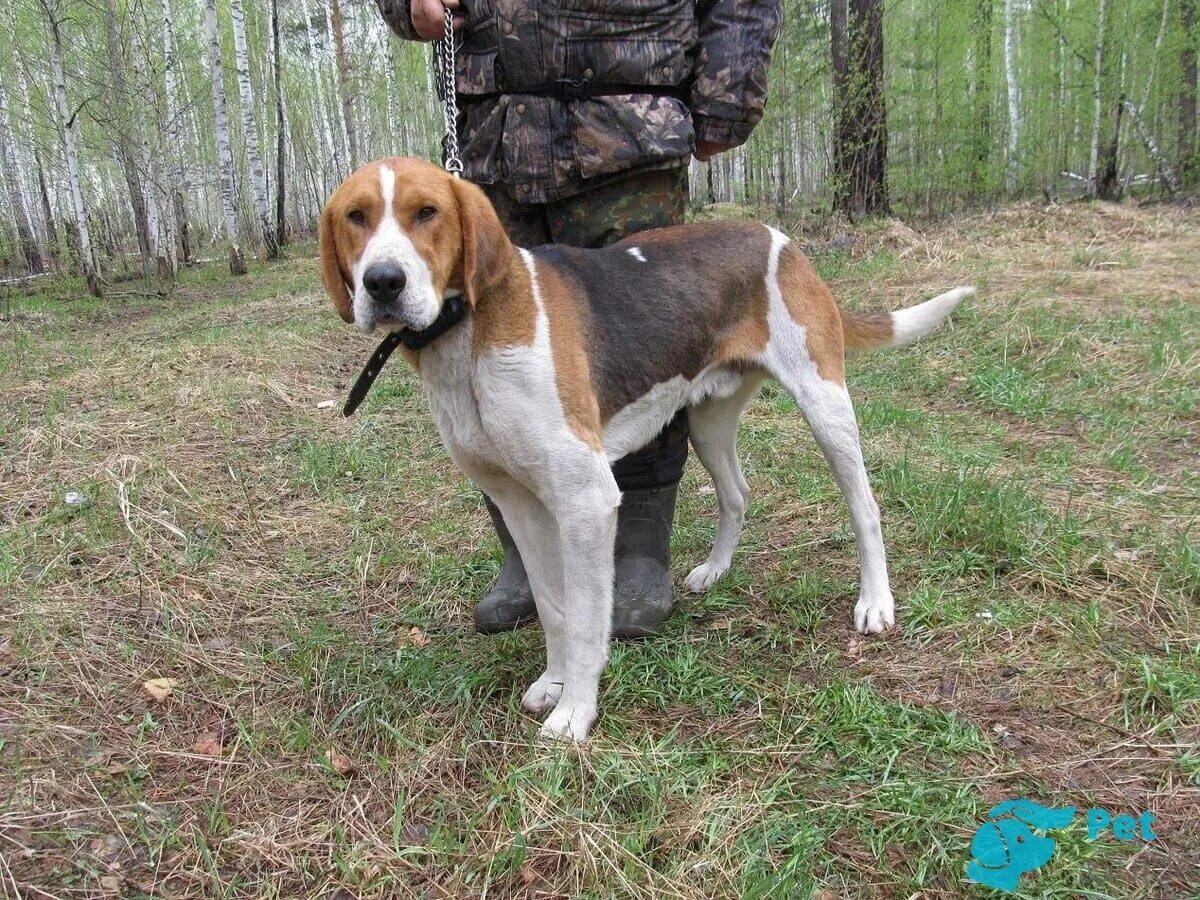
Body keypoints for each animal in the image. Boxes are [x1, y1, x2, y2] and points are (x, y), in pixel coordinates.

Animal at [321, 158, 974, 744]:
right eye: (355, 216)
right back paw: (715, 570)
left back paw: (875, 603)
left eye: (426, 212)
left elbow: (588, 618)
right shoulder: (520, 503)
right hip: (708, 421)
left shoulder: (585, 501)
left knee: (865, 507)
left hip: (825, 405)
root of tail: (780, 239)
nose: (384, 282)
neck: (466, 333)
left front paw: (575, 714)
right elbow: (554, 607)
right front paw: (554, 683)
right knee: (737, 494)